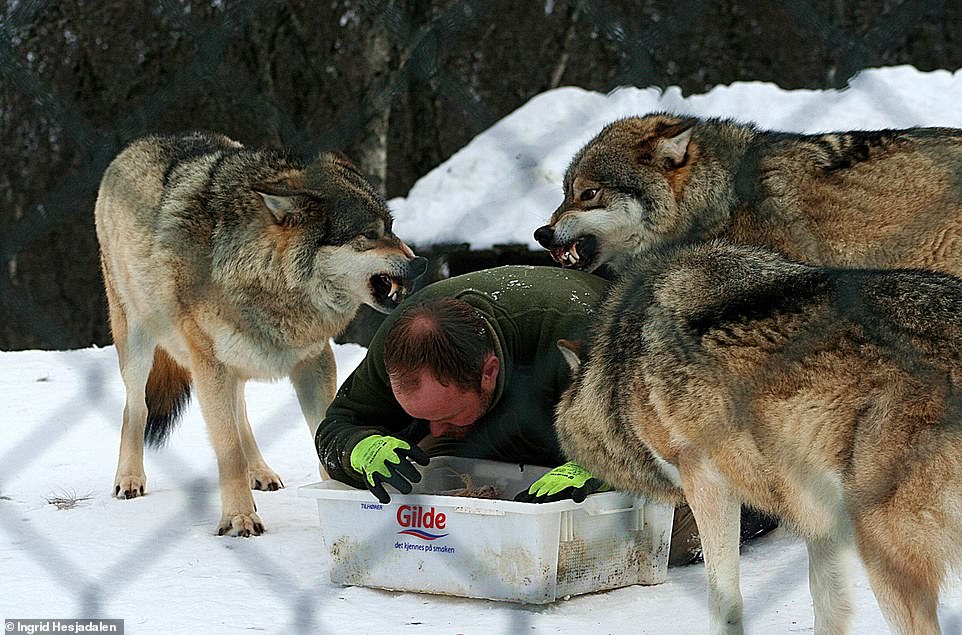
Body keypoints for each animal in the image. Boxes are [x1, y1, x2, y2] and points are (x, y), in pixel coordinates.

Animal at [95, 131, 427, 536]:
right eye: (369, 235)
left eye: (391, 227)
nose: (420, 263)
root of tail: (142, 141)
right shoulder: (210, 366)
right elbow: (228, 451)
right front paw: (239, 518)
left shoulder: (314, 361)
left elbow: (319, 433)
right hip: (141, 346)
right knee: (136, 407)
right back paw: (129, 479)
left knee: (241, 414)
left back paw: (261, 472)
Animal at [554, 240, 962, 634]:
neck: (622, 366)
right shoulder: (818, 514)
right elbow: (828, 607)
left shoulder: (706, 481)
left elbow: (725, 601)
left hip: (882, 548)